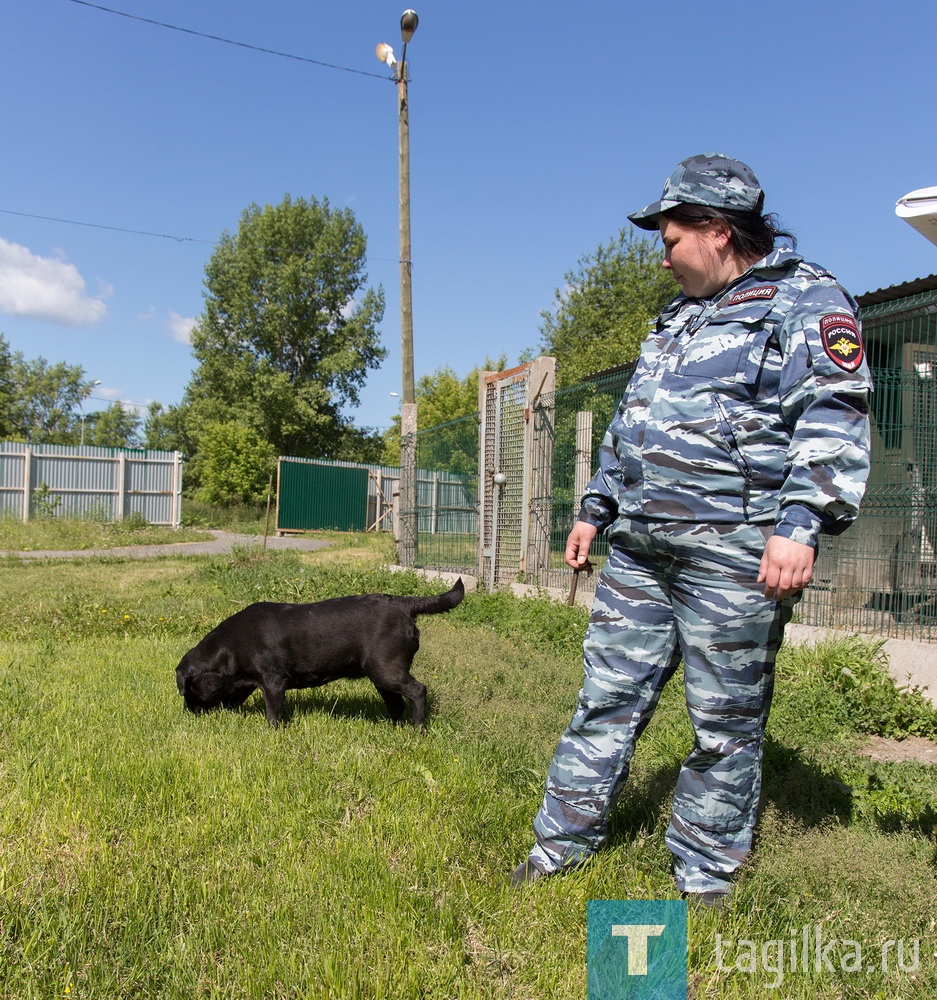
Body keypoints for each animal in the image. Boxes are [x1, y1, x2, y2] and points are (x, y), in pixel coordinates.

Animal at [175, 580, 464, 728]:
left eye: (188, 689)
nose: (187, 712)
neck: (230, 648)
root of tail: (403, 604)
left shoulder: (272, 681)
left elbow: (274, 713)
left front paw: (274, 732)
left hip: (386, 669)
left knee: (417, 691)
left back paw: (418, 728)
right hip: (381, 674)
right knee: (396, 703)